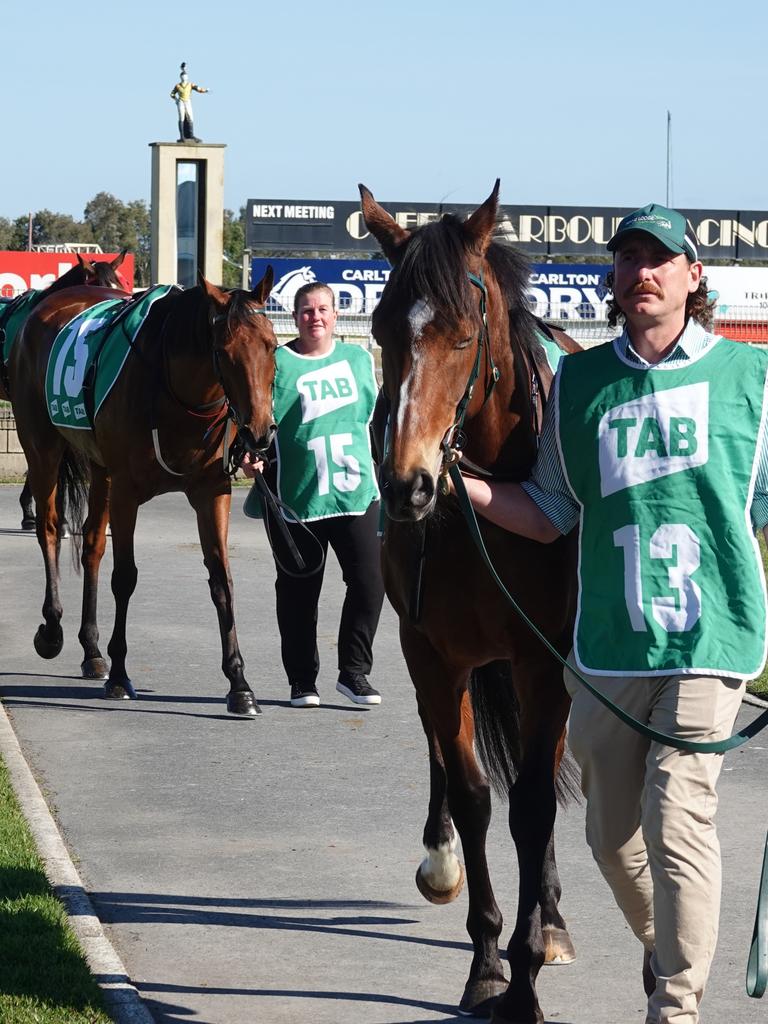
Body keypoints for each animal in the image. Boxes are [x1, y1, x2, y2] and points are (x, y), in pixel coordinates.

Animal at [9, 272, 276, 720]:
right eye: (223, 352)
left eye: (272, 344)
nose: (260, 433)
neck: (175, 392)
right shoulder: (127, 491)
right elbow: (125, 577)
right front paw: (120, 675)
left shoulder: (211, 491)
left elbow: (221, 579)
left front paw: (239, 684)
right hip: (42, 445)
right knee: (49, 529)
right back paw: (52, 630)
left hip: (99, 468)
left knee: (92, 544)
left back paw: (91, 651)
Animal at [360, 184, 581, 1024]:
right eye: (383, 330)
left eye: (463, 334)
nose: (408, 483)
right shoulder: (431, 651)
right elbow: (475, 795)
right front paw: (488, 963)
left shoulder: (542, 661)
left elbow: (531, 804)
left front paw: (524, 969)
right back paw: (442, 857)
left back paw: (549, 916)